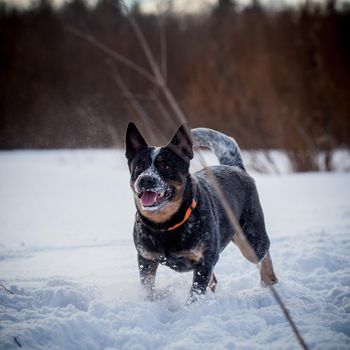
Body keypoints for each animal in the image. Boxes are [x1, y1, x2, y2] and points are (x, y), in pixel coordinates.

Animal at [124, 123, 278, 304]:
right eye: (139, 166)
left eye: (166, 165)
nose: (146, 179)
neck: (166, 225)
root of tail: (234, 166)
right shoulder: (146, 259)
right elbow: (148, 289)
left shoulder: (205, 261)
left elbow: (195, 294)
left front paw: (190, 309)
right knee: (215, 280)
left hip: (250, 241)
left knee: (264, 250)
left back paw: (268, 280)